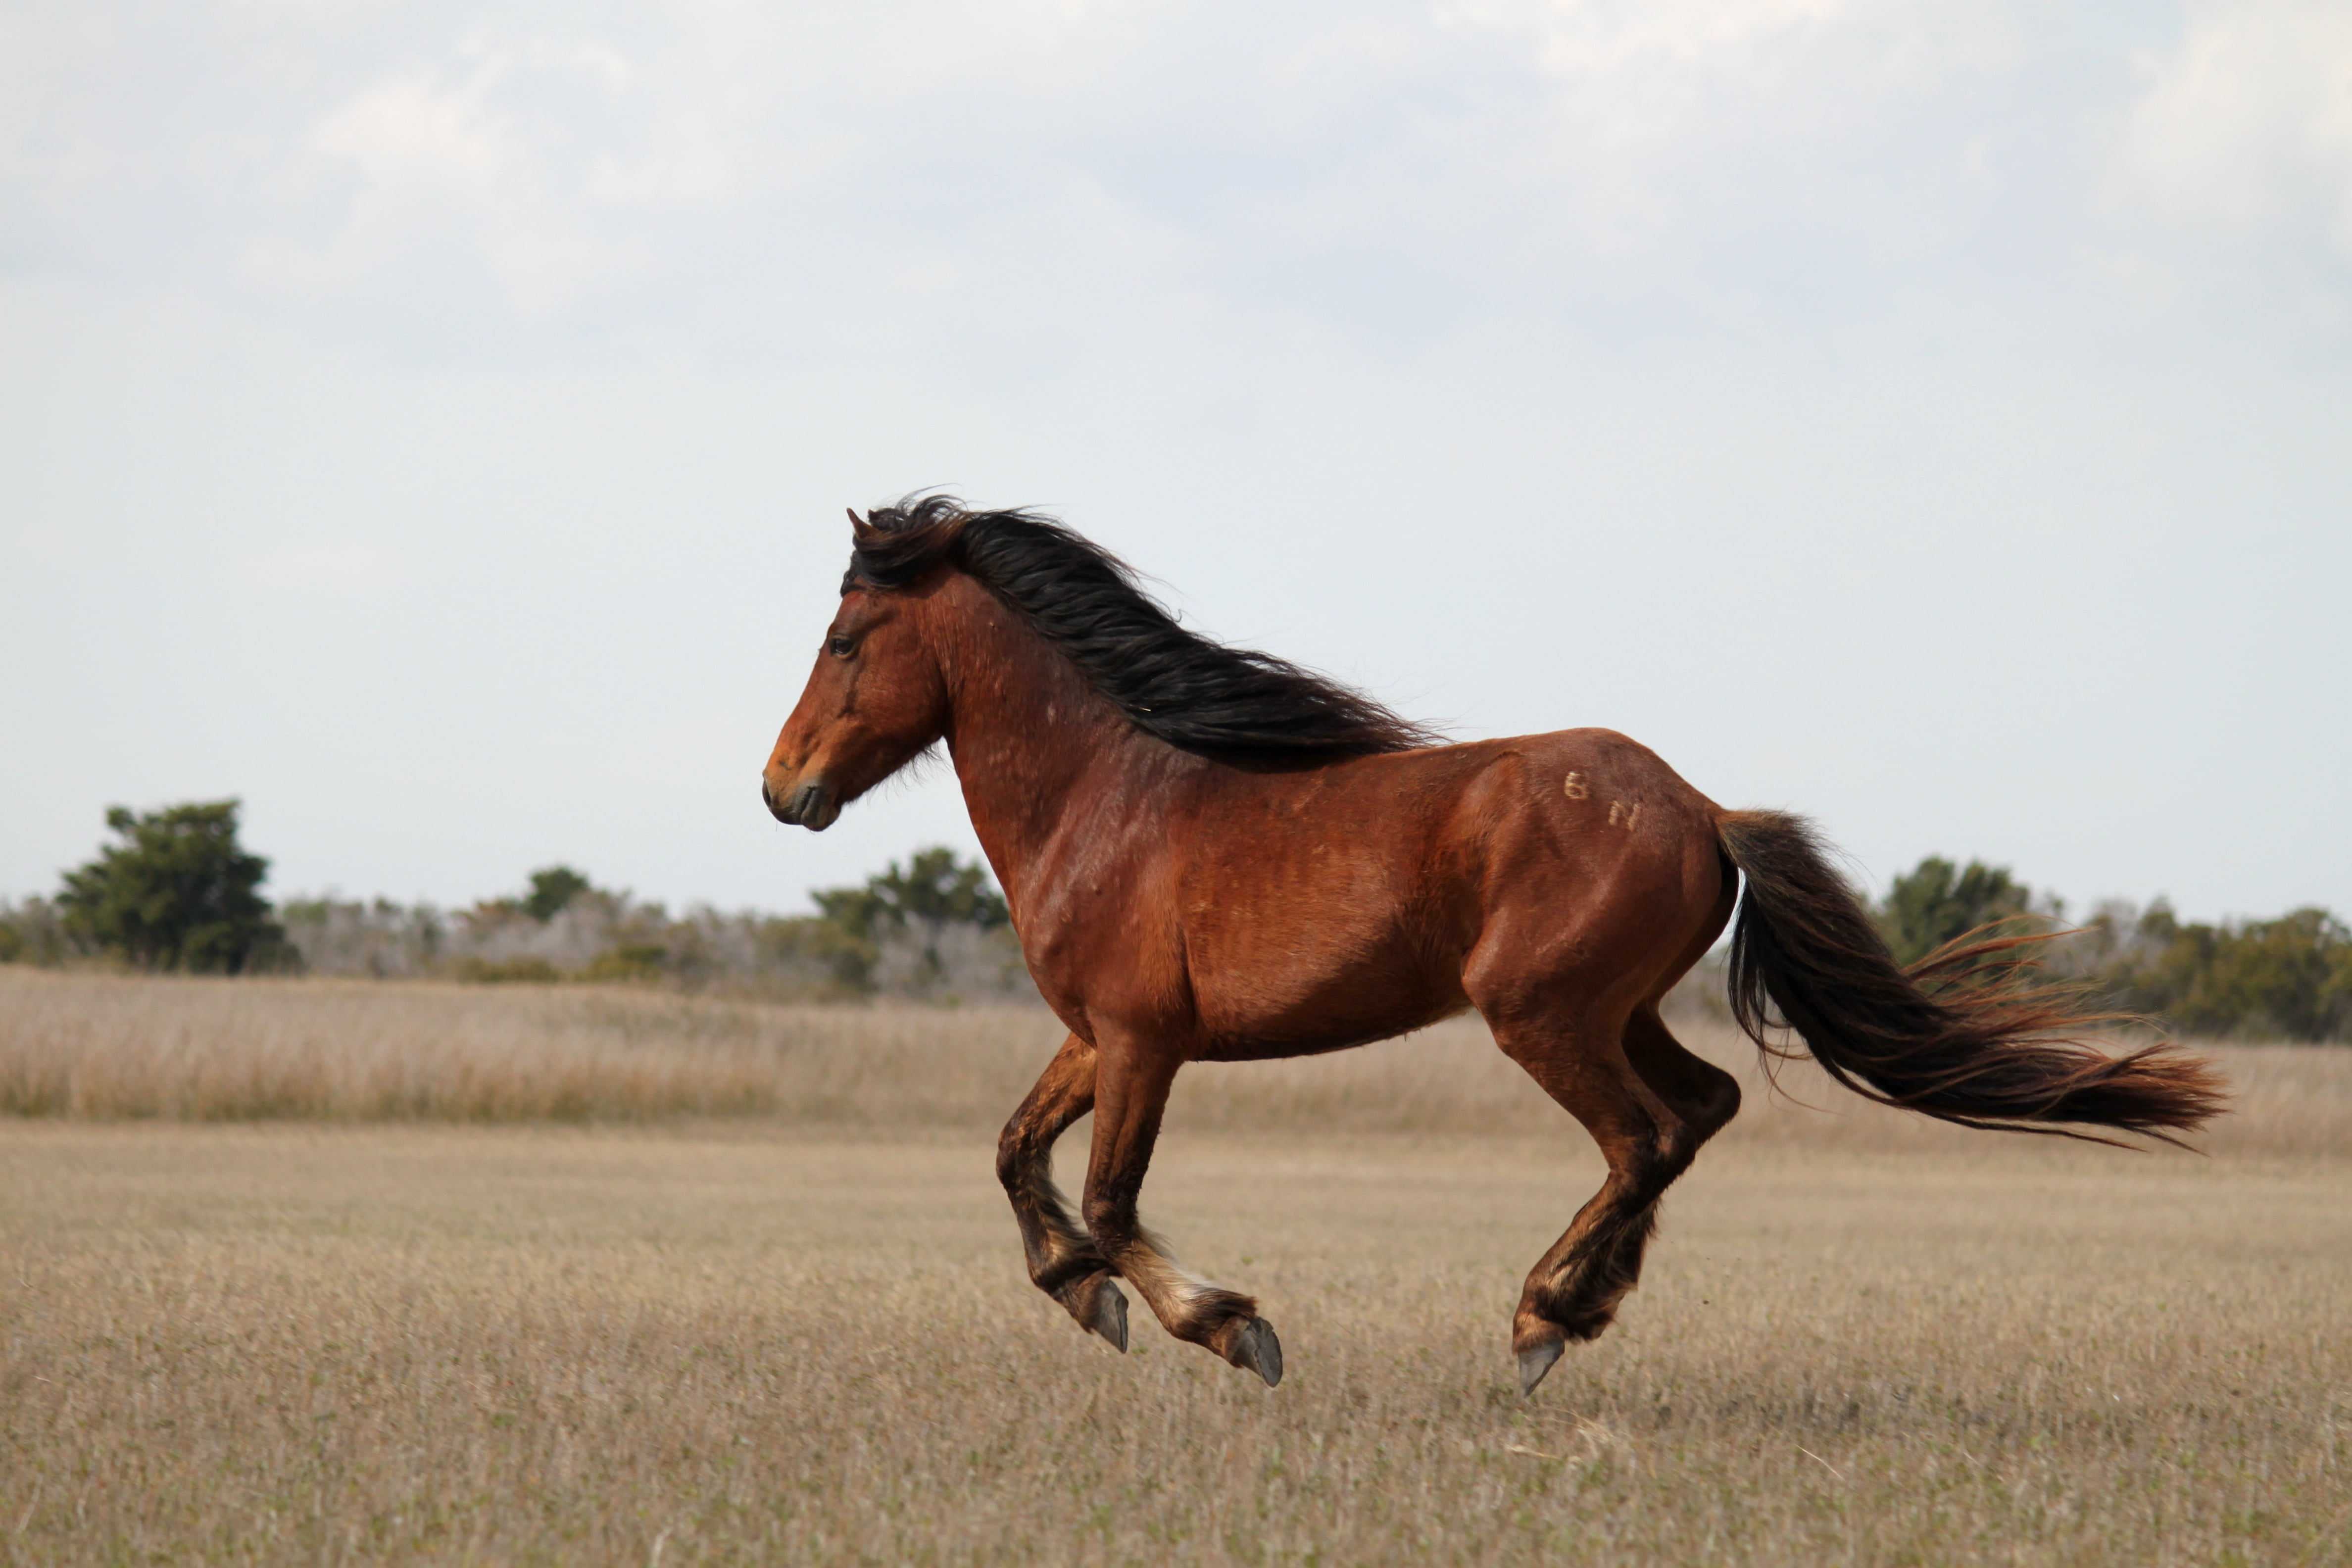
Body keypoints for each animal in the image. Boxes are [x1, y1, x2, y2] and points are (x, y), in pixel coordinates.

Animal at [767, 496, 2220, 1391]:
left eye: (842, 638)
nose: (784, 788)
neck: (1108, 799)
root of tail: (1701, 809)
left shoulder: (1141, 1043)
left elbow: (1113, 1197)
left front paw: (1227, 1327)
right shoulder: (1094, 1038)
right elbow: (1015, 1153)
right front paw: (1084, 1296)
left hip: (1541, 1014)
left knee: (1641, 1137)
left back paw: (1542, 1317)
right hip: (1611, 1008)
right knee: (1700, 1109)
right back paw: (1582, 1299)